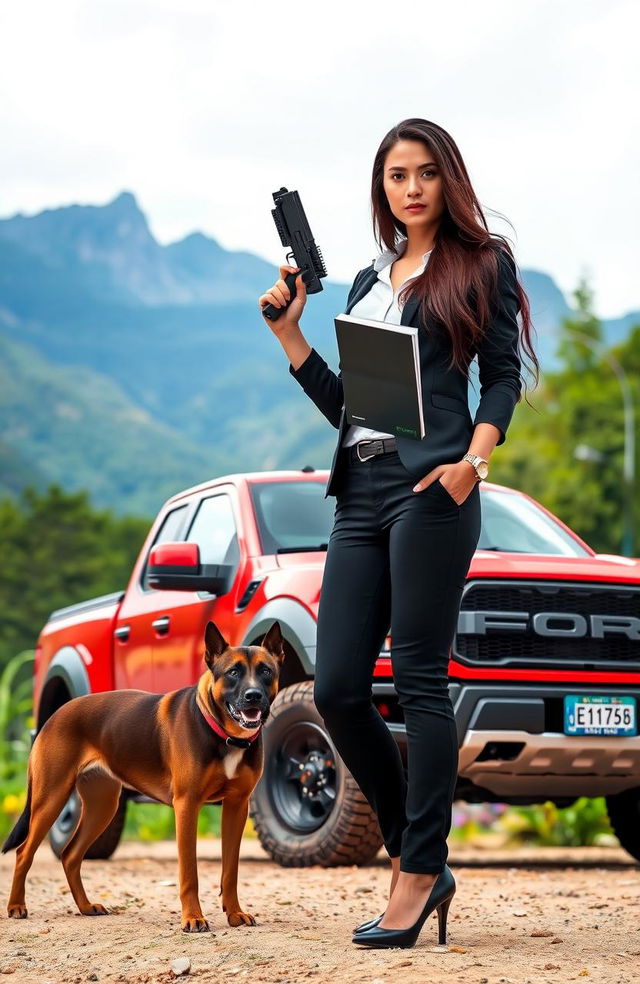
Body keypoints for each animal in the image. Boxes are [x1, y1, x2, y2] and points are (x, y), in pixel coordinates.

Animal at [2, 620, 282, 936]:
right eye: (233, 672)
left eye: (266, 671)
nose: (253, 695)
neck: (224, 735)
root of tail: (54, 715)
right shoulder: (187, 806)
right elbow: (190, 873)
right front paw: (192, 917)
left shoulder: (237, 807)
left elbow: (230, 871)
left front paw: (234, 913)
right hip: (51, 797)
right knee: (24, 852)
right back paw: (16, 906)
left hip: (102, 806)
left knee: (70, 855)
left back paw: (85, 907)